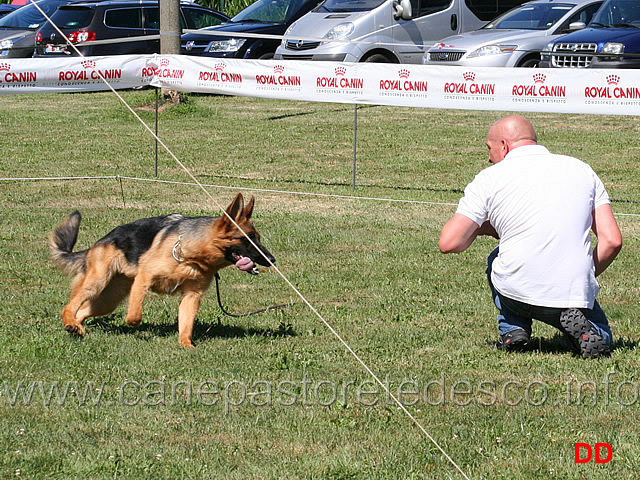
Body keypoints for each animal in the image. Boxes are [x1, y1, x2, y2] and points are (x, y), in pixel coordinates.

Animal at [47, 193, 272, 346]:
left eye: (258, 238)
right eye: (248, 238)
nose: (272, 259)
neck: (193, 254)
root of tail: (100, 241)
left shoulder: (192, 296)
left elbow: (186, 324)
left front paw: (186, 345)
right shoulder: (144, 279)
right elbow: (134, 315)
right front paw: (134, 323)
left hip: (108, 300)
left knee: (82, 310)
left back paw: (76, 328)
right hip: (96, 283)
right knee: (69, 306)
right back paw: (70, 323)